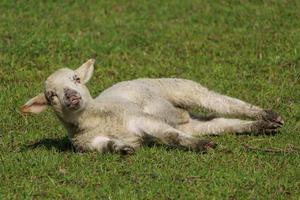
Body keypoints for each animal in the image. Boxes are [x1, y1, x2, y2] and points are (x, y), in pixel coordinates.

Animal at [20, 58, 284, 154]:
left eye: (76, 79)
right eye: (51, 95)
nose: (72, 97)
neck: (96, 118)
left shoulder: (140, 118)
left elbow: (169, 136)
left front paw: (202, 147)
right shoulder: (86, 144)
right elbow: (107, 146)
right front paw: (122, 148)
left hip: (184, 89)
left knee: (220, 101)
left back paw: (268, 114)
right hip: (190, 122)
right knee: (220, 123)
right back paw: (262, 126)